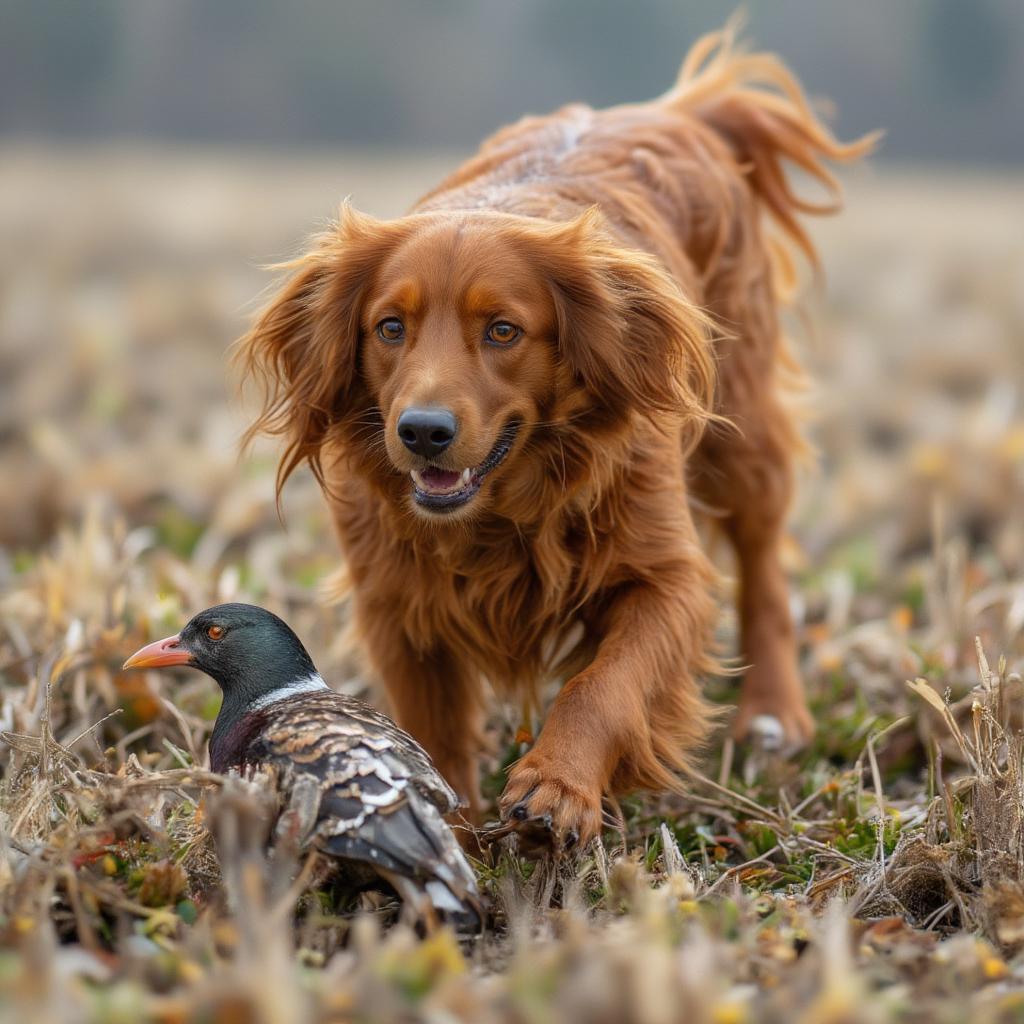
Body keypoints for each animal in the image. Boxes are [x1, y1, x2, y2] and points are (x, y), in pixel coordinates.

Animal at [237, 25, 872, 847]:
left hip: (744, 432)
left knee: (763, 568)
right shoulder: (396, 603)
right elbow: (430, 731)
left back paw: (774, 710)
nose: (423, 431)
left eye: (503, 330)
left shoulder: (664, 578)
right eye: (390, 327)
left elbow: (604, 684)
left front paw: (558, 784)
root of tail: (677, 109)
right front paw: (447, 827)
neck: (503, 508)